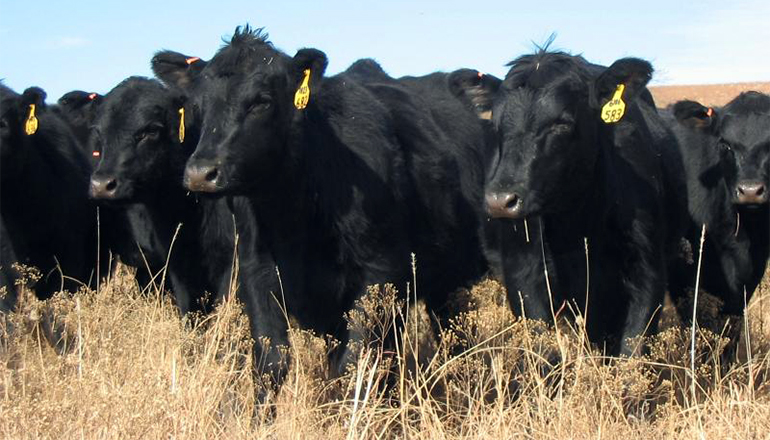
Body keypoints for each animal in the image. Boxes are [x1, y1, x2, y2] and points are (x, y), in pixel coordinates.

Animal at [154, 26, 486, 396]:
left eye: (261, 101)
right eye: (197, 105)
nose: (201, 173)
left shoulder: (378, 275)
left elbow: (353, 366)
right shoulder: (257, 272)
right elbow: (271, 362)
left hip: (450, 279)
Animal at [452, 49, 676, 356]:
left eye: (562, 122)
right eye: (496, 124)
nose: (500, 201)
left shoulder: (648, 271)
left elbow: (632, 350)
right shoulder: (525, 276)